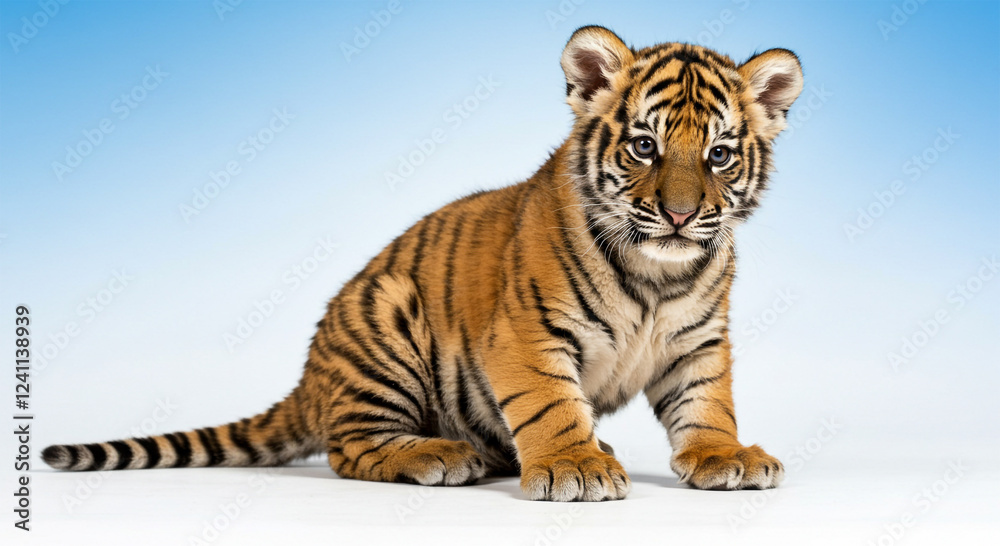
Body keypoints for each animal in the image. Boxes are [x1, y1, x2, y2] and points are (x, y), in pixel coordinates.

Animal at [43, 26, 804, 502]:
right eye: (645, 146)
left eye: (718, 155)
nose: (679, 215)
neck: (657, 272)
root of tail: (309, 381)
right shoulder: (527, 337)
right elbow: (552, 405)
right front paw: (574, 465)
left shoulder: (698, 341)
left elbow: (707, 402)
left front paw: (725, 456)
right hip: (386, 322)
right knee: (351, 449)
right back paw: (441, 455)